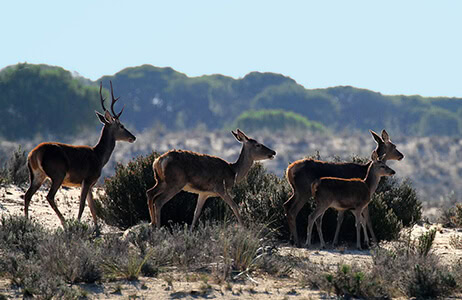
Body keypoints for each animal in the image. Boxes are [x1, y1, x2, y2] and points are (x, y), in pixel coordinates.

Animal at [23, 81, 135, 231]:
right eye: (122, 126)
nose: (133, 137)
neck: (99, 157)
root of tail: (34, 154)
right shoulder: (87, 179)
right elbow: (82, 206)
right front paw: (79, 224)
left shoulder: (91, 183)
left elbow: (92, 207)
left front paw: (97, 229)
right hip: (58, 173)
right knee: (49, 196)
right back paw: (64, 222)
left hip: (37, 175)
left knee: (27, 195)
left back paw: (26, 222)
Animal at [145, 127, 274, 229]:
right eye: (258, 144)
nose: (273, 152)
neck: (233, 172)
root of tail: (158, 161)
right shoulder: (220, 188)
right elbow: (234, 206)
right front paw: (245, 229)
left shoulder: (204, 193)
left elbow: (196, 212)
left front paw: (190, 232)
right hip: (175, 183)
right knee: (159, 201)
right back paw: (158, 227)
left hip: (162, 181)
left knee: (150, 192)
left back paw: (152, 223)